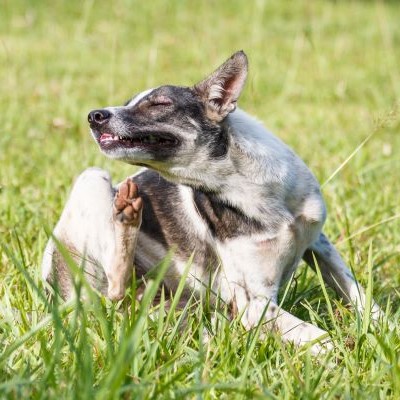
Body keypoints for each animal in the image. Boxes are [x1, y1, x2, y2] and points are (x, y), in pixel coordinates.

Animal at [41, 50, 382, 354]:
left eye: (159, 104)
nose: (94, 115)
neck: (245, 184)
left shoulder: (318, 243)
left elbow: (360, 295)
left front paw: (381, 330)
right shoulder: (254, 304)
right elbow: (321, 337)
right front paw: (350, 352)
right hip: (92, 179)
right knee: (115, 287)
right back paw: (126, 214)